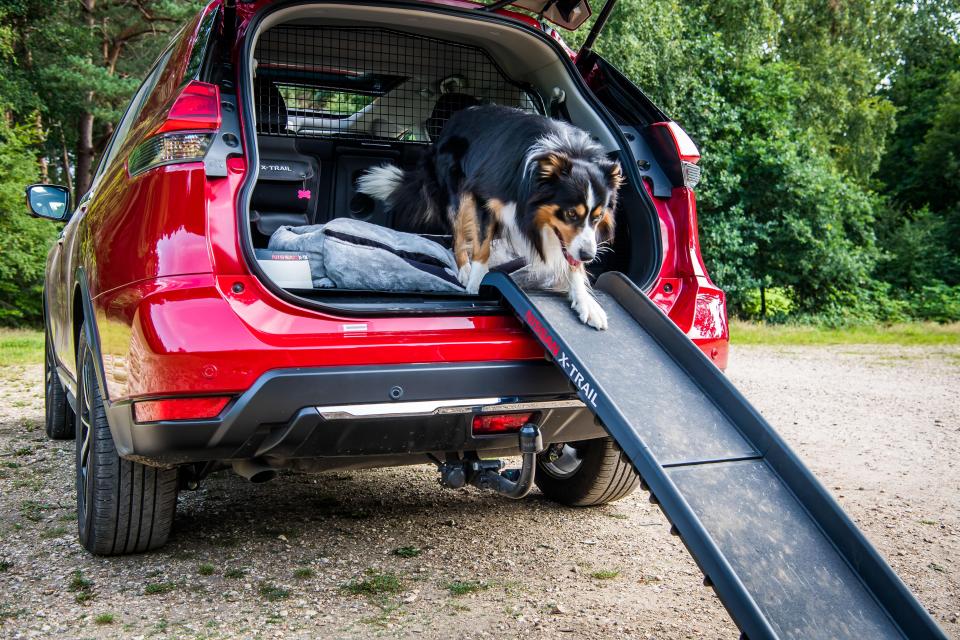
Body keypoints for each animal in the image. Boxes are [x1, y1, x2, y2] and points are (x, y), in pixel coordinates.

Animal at [360, 105, 624, 330]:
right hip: (457, 191)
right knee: (458, 235)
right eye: (570, 213)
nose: (589, 255)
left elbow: (572, 263)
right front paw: (476, 281)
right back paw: (463, 269)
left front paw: (586, 302)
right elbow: (482, 245)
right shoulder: (482, 196)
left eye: (598, 217)